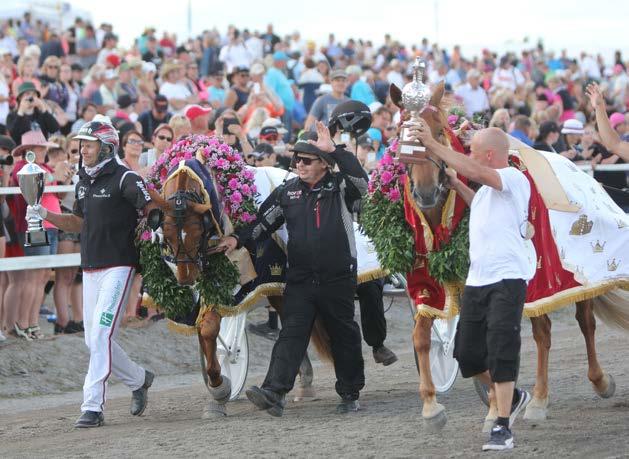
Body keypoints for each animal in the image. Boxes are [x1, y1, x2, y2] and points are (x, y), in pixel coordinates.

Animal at [392, 83, 628, 434]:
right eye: (401, 134)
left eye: (436, 132)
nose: (426, 193)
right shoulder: (432, 283)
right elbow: (426, 338)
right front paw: (433, 407)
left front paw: (497, 405)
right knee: (543, 332)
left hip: (559, 278)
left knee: (577, 324)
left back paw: (589, 384)